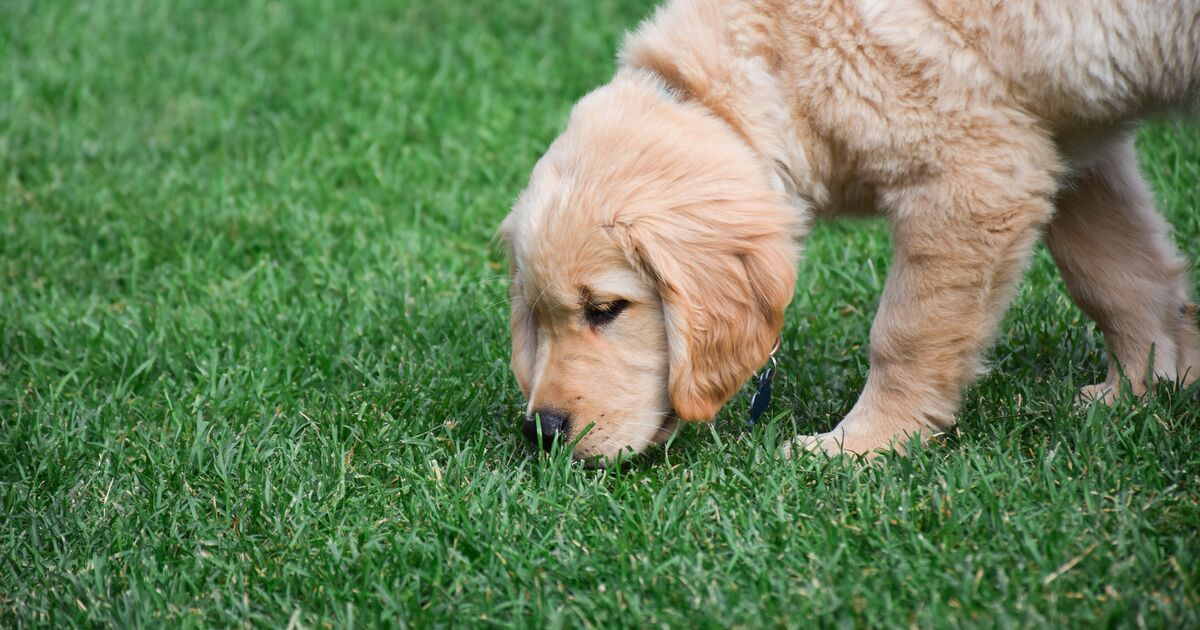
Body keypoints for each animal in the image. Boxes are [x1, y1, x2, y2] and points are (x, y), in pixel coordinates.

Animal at [496, 0, 1200, 460]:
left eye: (607, 309)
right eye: (539, 316)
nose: (543, 432)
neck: (778, 66)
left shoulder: (976, 172)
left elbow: (906, 333)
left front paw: (861, 445)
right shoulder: (1065, 140)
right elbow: (1116, 274)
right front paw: (1142, 389)